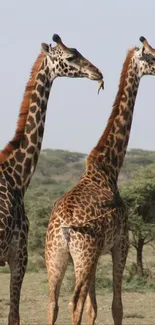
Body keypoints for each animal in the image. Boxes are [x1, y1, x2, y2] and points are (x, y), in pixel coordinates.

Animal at [45, 36, 155, 324]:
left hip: (56, 256)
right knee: (73, 303)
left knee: (53, 303)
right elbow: (116, 306)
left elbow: (93, 308)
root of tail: (63, 228)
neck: (109, 167)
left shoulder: (96, 256)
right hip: (83, 254)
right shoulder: (121, 244)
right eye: (151, 56)